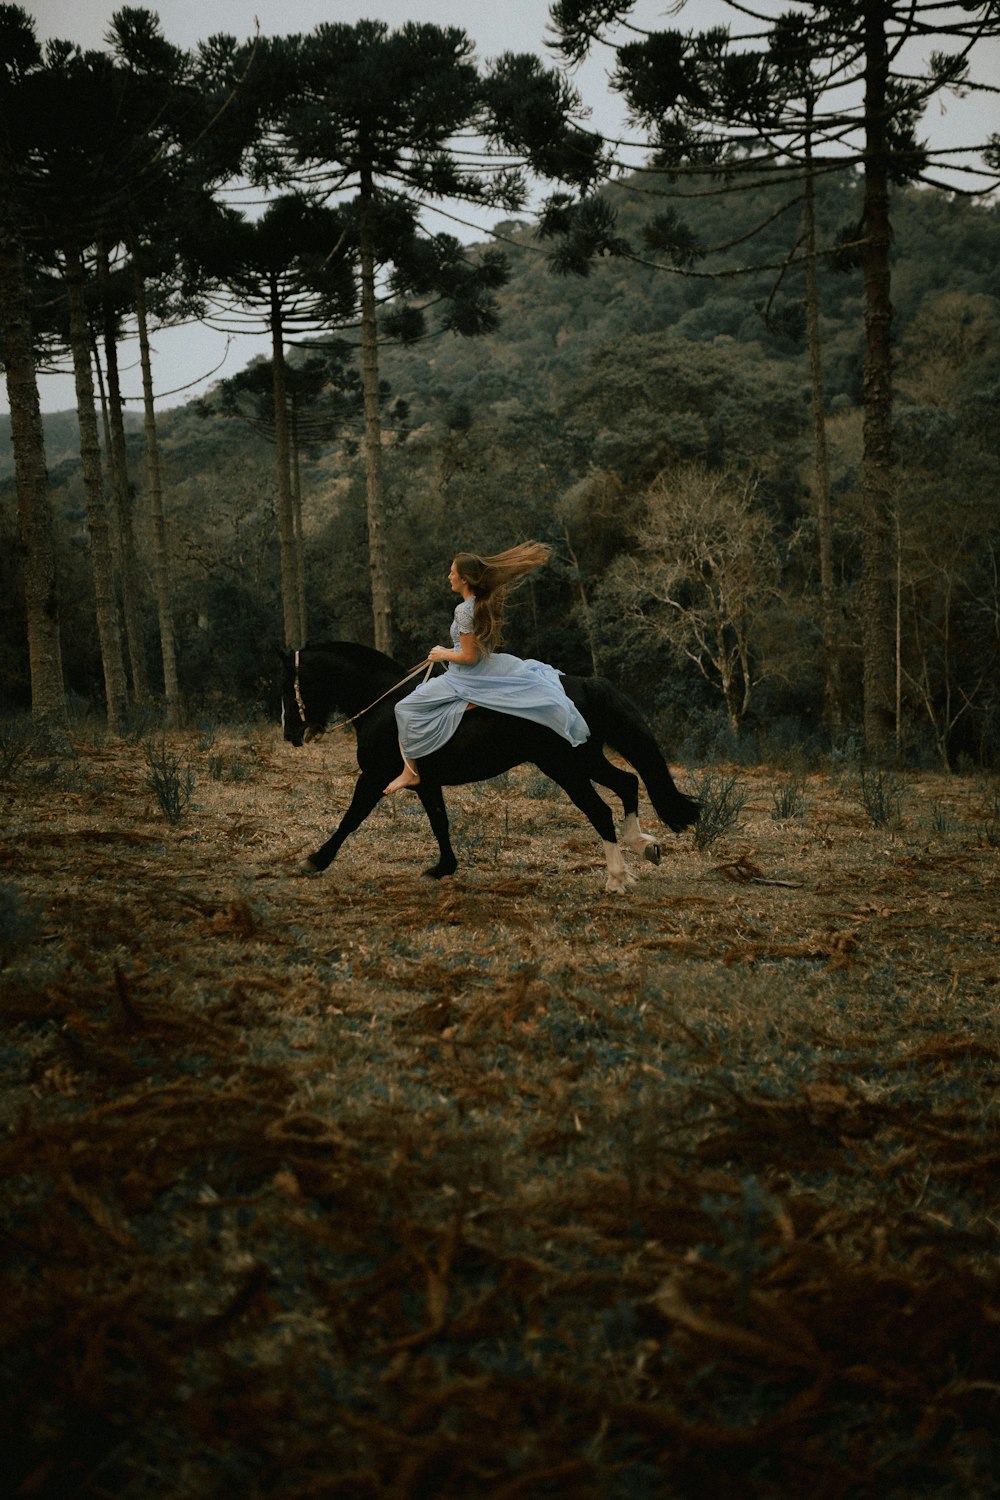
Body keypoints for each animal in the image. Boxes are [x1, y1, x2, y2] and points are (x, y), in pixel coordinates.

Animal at [277, 642, 701, 888]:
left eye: (289, 686)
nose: (290, 733)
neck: (385, 704)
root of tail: (581, 683)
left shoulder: (374, 777)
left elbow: (351, 818)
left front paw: (314, 860)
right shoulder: (426, 782)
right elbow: (439, 822)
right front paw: (443, 867)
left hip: (565, 767)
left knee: (599, 810)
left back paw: (616, 879)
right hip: (587, 760)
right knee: (628, 783)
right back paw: (643, 848)